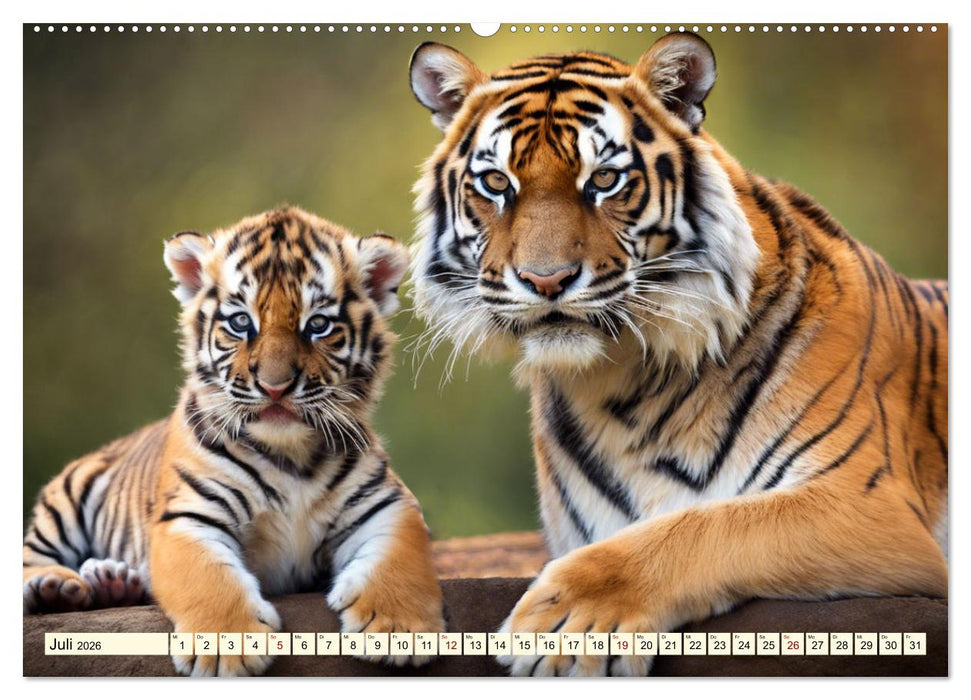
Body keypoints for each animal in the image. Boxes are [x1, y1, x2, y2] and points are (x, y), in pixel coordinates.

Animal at [23, 206, 445, 676]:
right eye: (241, 322)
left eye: (317, 325)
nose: (275, 387)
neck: (291, 454)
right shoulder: (191, 515)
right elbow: (209, 579)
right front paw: (229, 649)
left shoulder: (384, 504)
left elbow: (400, 560)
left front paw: (399, 629)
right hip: (65, 497)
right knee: (32, 557)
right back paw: (55, 588)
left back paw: (115, 582)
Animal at [408, 33, 948, 676]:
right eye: (495, 184)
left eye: (604, 179)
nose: (546, 280)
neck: (621, 383)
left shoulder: (868, 504)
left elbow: (714, 526)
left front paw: (564, 627)